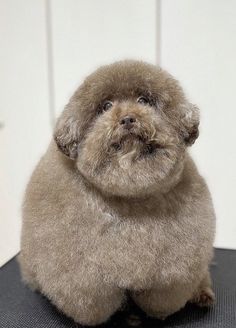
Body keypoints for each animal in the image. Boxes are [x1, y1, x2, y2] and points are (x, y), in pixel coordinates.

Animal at [19, 60, 216, 326]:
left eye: (144, 100)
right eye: (106, 106)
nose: (128, 119)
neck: (131, 197)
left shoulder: (174, 271)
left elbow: (162, 296)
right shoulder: (80, 276)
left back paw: (202, 294)